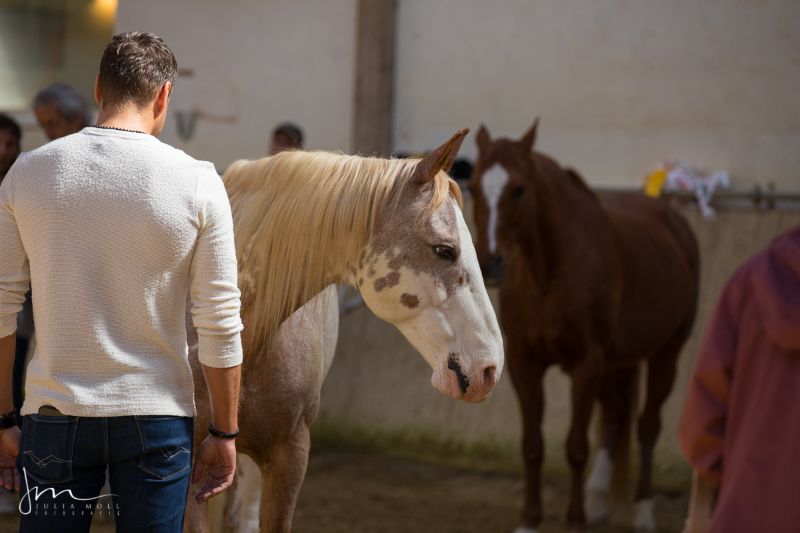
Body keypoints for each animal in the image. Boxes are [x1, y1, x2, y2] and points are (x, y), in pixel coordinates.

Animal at [468, 120, 699, 533]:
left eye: (519, 189)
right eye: (475, 186)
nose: (490, 262)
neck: (547, 274)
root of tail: (673, 221)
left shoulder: (586, 364)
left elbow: (576, 447)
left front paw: (574, 520)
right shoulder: (525, 364)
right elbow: (532, 446)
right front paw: (530, 521)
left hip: (665, 355)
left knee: (647, 426)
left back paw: (643, 512)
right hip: (615, 364)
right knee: (617, 414)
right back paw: (598, 501)